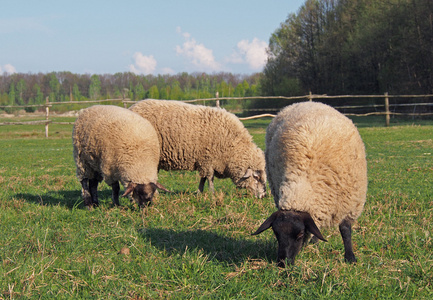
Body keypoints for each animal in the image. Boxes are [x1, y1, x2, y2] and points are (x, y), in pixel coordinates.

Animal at [126, 99, 264, 198]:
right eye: (256, 177)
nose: (264, 196)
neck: (232, 147)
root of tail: (131, 108)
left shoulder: (204, 160)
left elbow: (203, 178)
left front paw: (199, 192)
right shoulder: (208, 159)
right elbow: (209, 178)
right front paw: (212, 194)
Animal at [251, 101, 366, 268]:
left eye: (299, 234)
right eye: (276, 234)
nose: (283, 263)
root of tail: (308, 102)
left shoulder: (350, 202)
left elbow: (345, 230)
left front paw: (350, 257)